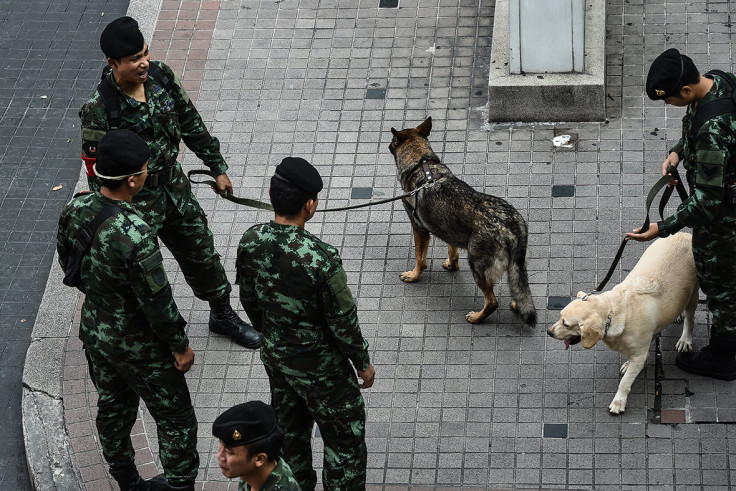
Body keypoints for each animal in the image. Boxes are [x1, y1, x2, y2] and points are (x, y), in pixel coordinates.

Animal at [388, 117, 536, 326]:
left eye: (392, 140)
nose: (387, 144)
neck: (421, 165)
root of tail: (511, 225)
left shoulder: (419, 229)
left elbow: (420, 259)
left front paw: (414, 275)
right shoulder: (449, 230)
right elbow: (452, 250)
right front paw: (452, 265)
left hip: (477, 266)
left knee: (492, 302)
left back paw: (477, 317)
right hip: (516, 267)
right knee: (519, 290)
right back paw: (517, 305)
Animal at [548, 234, 700, 416]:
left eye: (566, 324)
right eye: (559, 317)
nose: (548, 332)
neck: (613, 313)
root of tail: (684, 234)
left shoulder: (639, 354)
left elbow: (625, 382)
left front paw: (618, 402)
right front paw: (627, 365)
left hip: (694, 292)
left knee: (690, 319)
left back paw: (685, 339)